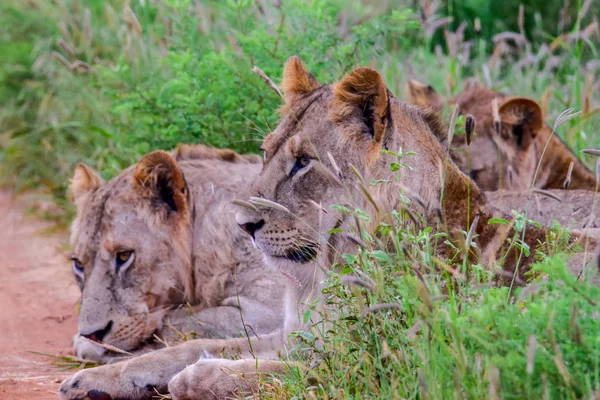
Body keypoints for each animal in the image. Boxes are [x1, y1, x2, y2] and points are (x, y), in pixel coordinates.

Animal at [66, 145, 284, 362]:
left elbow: (179, 322)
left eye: (124, 256)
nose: (93, 334)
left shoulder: (267, 311)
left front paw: (87, 344)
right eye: (78, 264)